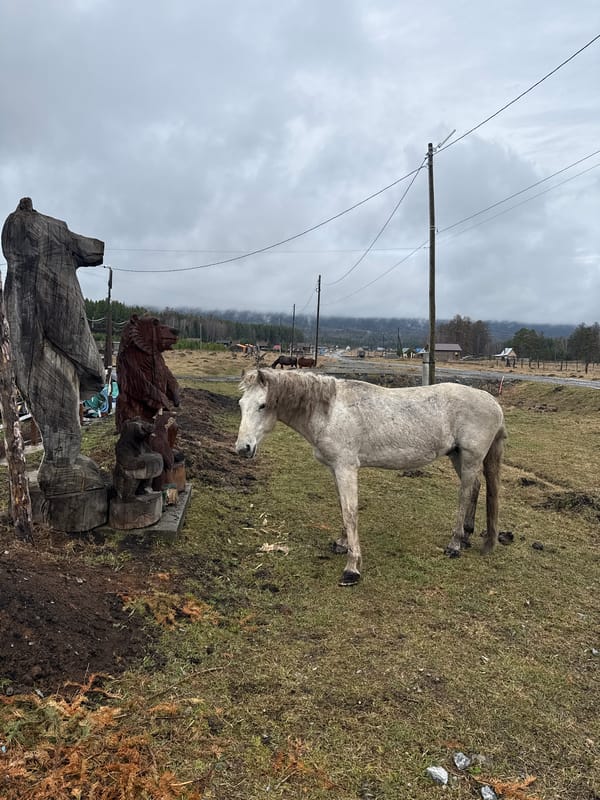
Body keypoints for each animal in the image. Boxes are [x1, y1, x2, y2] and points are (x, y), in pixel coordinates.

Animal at [235, 369, 507, 586]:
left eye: (262, 405)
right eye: (240, 404)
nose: (243, 448)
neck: (329, 413)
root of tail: (492, 401)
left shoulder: (346, 467)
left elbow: (350, 512)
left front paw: (351, 568)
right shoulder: (335, 468)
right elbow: (343, 508)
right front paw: (341, 543)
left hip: (470, 457)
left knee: (464, 494)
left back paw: (454, 544)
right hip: (457, 456)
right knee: (475, 487)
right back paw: (467, 535)